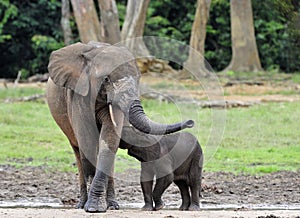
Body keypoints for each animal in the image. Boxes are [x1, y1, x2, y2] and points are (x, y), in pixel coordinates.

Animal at [45, 41, 193, 213]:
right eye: (106, 79)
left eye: (138, 79)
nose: (191, 122)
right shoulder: (78, 93)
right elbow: (87, 142)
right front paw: (92, 208)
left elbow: (109, 141)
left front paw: (96, 207)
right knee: (78, 150)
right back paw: (81, 204)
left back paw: (113, 205)